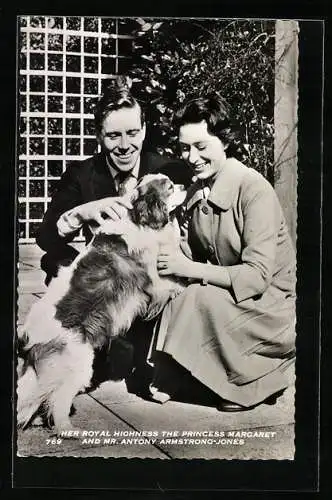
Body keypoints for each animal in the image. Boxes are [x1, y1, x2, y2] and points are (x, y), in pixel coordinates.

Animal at [17, 175, 187, 438]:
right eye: (169, 187)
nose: (185, 186)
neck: (137, 218)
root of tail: (29, 342)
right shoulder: (153, 280)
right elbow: (171, 282)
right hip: (78, 365)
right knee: (57, 400)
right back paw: (67, 429)